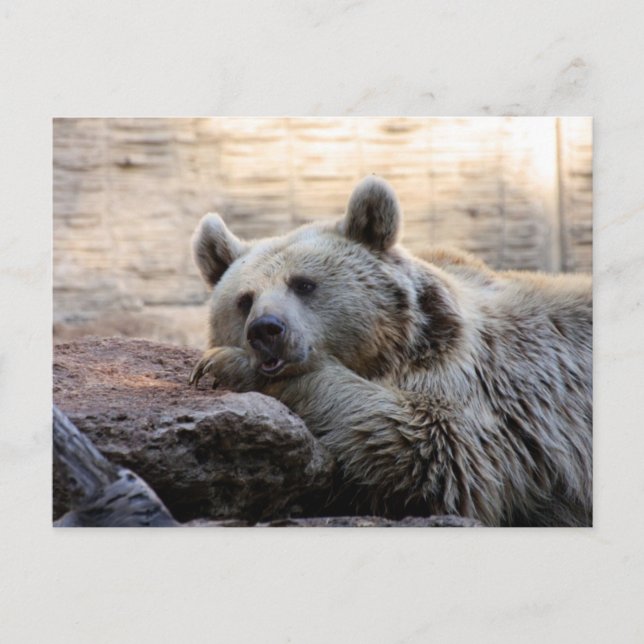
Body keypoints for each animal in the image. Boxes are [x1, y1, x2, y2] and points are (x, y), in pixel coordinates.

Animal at [189, 176, 592, 527]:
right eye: (244, 300)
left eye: (303, 284)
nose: (266, 329)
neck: (392, 351)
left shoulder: (481, 385)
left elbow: (428, 448)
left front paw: (223, 365)